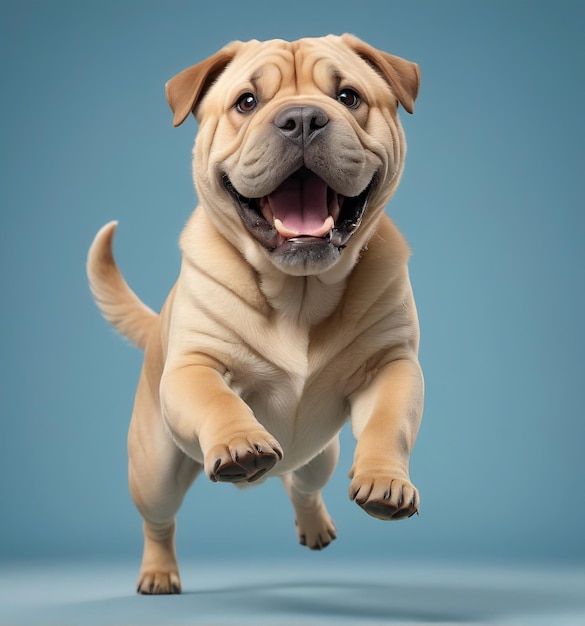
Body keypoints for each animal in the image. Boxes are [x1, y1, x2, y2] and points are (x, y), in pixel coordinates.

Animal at [86, 33, 422, 588]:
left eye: (348, 96)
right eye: (246, 102)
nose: (303, 118)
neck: (300, 292)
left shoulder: (391, 366)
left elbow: (388, 422)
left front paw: (384, 479)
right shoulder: (195, 365)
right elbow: (217, 400)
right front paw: (241, 442)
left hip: (318, 455)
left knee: (301, 482)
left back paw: (315, 524)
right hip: (154, 472)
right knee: (159, 521)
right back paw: (158, 573)